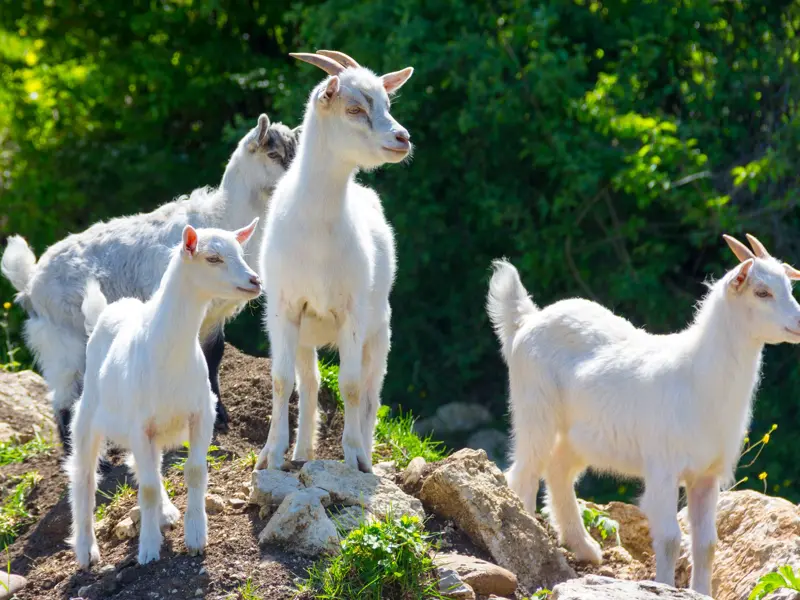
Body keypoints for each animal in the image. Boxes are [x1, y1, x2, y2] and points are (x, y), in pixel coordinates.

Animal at [1, 114, 299, 453]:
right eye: (272, 154)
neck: (222, 216)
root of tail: (30, 282)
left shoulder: (213, 316)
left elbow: (213, 357)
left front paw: (219, 415)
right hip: (61, 338)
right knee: (64, 396)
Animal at [67, 219, 261, 568]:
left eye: (241, 253)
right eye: (212, 258)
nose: (255, 281)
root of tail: (108, 310)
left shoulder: (201, 413)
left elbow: (194, 472)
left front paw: (196, 536)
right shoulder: (138, 425)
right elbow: (146, 489)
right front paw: (148, 550)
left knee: (150, 466)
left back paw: (166, 512)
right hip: (88, 415)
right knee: (84, 476)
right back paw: (86, 549)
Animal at [253, 50, 413, 473]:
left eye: (388, 103)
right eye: (354, 108)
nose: (403, 138)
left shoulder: (352, 311)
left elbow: (352, 386)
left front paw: (355, 457)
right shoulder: (285, 308)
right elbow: (281, 380)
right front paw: (270, 455)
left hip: (380, 330)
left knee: (372, 392)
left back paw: (364, 452)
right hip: (305, 334)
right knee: (309, 383)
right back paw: (301, 453)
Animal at [486, 234, 800, 595]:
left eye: (788, 286)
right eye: (762, 292)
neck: (696, 378)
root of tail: (528, 320)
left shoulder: (707, 475)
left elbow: (706, 544)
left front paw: (700, 591)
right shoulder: (663, 467)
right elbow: (670, 539)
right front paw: (663, 586)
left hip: (581, 435)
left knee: (558, 470)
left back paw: (584, 547)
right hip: (534, 410)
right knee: (523, 474)